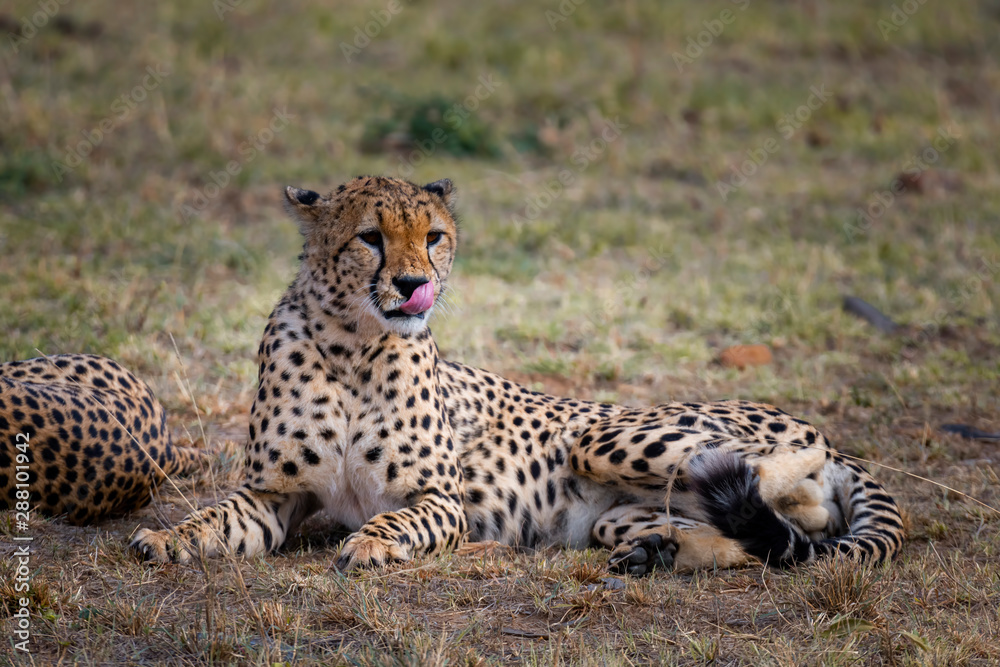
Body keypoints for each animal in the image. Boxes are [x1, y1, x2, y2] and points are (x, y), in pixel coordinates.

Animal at [130, 175, 905, 574]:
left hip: (605, 435)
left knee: (785, 486)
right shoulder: (274, 493)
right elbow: (215, 515)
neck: (354, 343)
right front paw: (168, 537)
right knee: (763, 539)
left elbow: (401, 516)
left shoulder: (441, 497)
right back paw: (661, 549)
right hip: (616, 515)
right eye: (370, 238)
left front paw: (374, 542)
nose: (413, 285)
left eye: (433, 236)